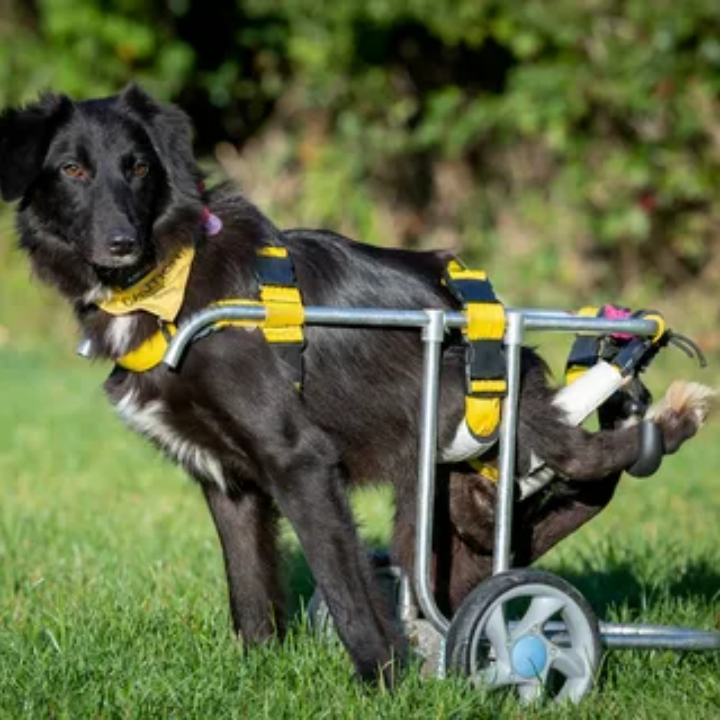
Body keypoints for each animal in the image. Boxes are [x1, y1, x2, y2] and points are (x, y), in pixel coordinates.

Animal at [0, 87, 708, 684]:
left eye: (139, 168)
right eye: (73, 171)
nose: (122, 243)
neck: (170, 284)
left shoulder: (300, 460)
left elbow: (345, 587)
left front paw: (384, 681)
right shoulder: (228, 481)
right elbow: (250, 591)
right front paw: (258, 677)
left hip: (503, 428)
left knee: (598, 462)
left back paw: (664, 414)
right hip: (458, 511)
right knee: (528, 535)